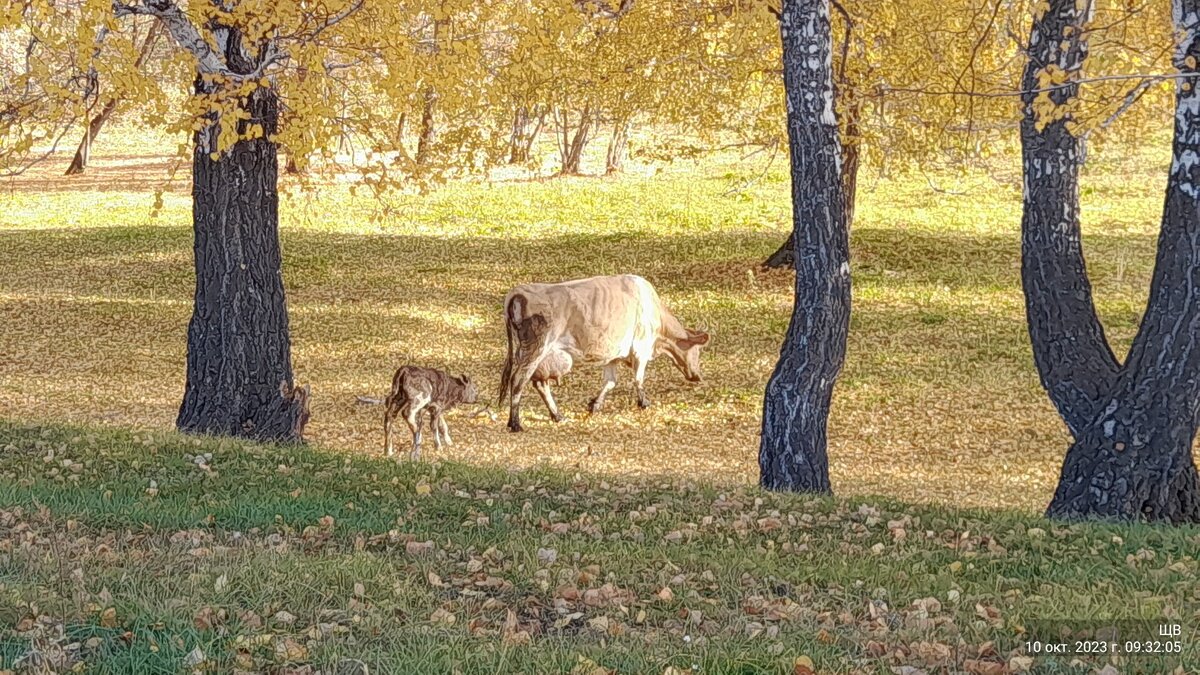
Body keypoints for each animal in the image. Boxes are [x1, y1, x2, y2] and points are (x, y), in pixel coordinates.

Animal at [499, 273, 710, 429]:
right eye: (698, 352)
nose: (698, 376)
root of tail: (518, 291)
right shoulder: (640, 347)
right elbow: (638, 378)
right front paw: (643, 402)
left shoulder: (613, 355)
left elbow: (610, 382)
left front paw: (595, 405)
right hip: (536, 348)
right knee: (518, 380)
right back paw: (515, 423)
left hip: (540, 355)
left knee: (540, 384)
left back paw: (557, 416)